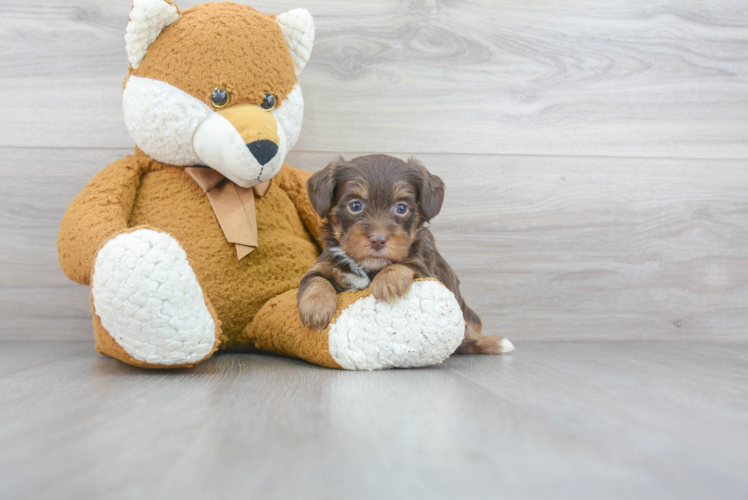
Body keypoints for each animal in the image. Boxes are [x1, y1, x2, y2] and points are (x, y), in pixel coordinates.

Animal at [298, 154, 516, 354]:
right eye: (355, 205)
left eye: (401, 208)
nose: (378, 240)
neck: (369, 267)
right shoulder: (324, 264)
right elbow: (315, 280)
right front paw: (315, 308)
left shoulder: (427, 270)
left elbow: (405, 263)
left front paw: (387, 280)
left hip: (468, 320)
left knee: (468, 341)